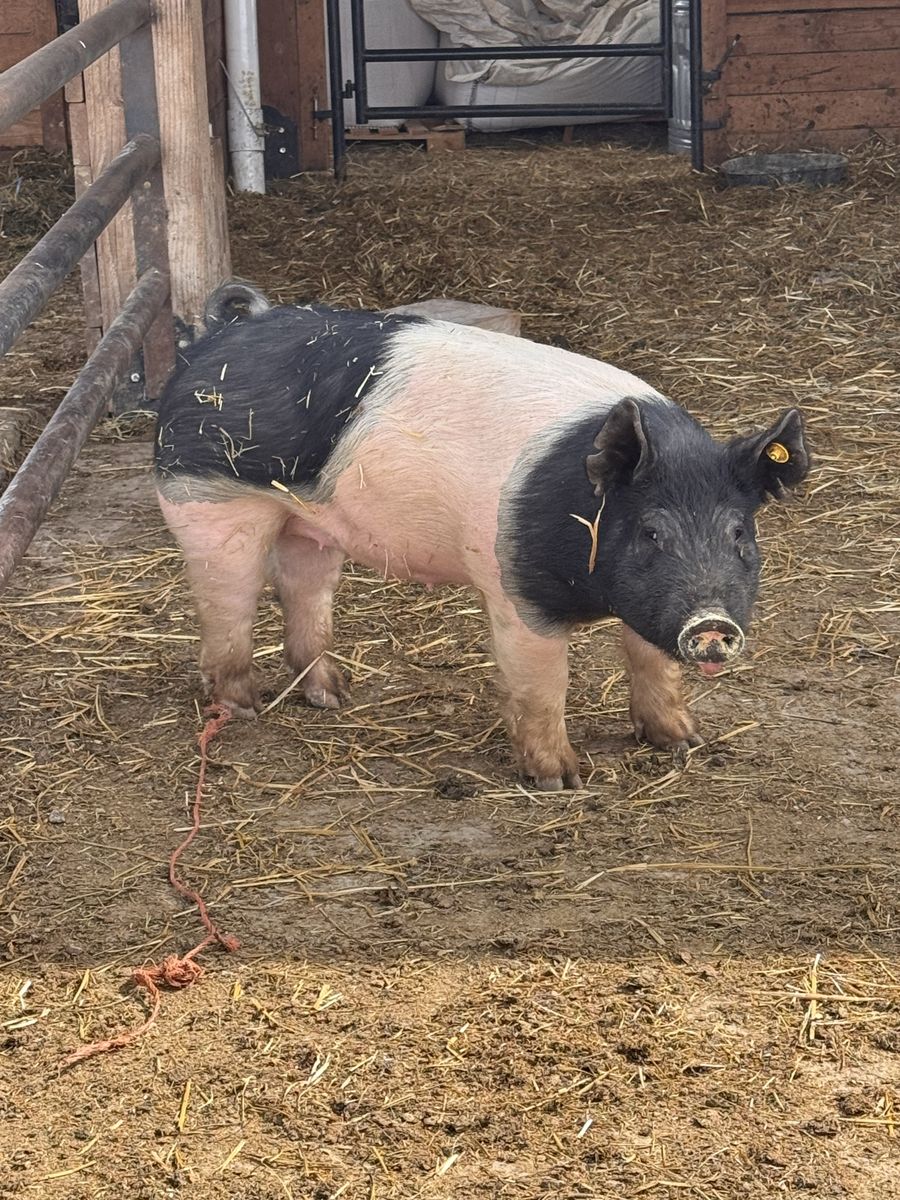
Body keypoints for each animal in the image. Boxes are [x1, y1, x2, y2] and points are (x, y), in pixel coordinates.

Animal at [154, 282, 809, 790]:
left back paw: (335, 695)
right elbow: (543, 685)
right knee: (228, 606)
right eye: (651, 532)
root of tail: (221, 333)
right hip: (207, 500)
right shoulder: (516, 589)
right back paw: (244, 708)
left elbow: (652, 662)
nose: (711, 624)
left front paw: (683, 742)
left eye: (739, 531)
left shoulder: (648, 605)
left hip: (310, 522)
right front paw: (560, 781)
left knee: (303, 592)